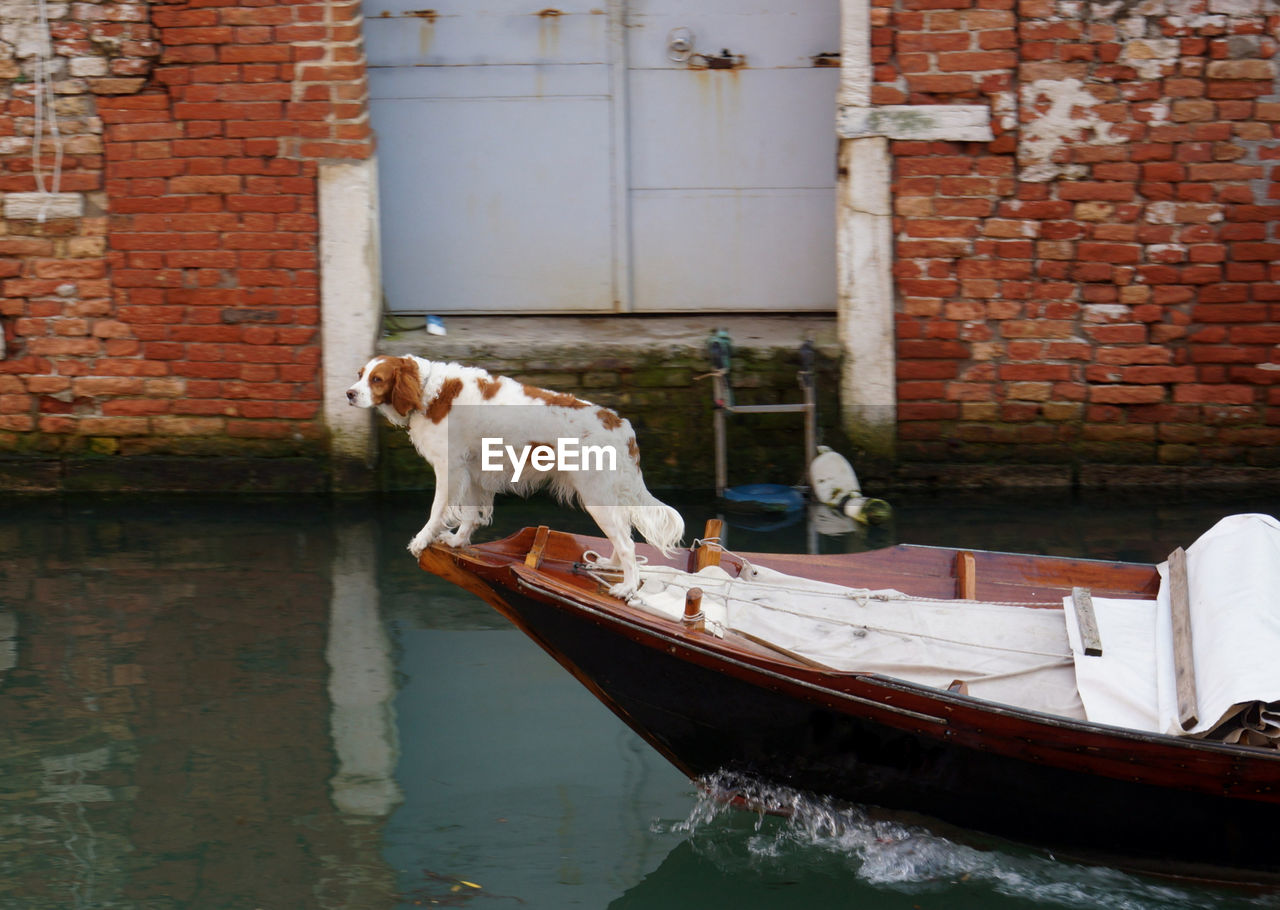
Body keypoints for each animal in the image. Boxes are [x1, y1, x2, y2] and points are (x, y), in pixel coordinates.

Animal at [345, 353, 686, 598]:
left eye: (377, 379)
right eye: (360, 375)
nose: (349, 393)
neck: (429, 390)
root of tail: (620, 425)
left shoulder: (449, 468)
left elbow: (437, 510)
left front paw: (421, 539)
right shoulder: (473, 470)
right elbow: (470, 515)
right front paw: (458, 541)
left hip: (596, 496)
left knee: (627, 544)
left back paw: (627, 587)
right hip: (604, 498)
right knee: (624, 536)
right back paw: (611, 566)